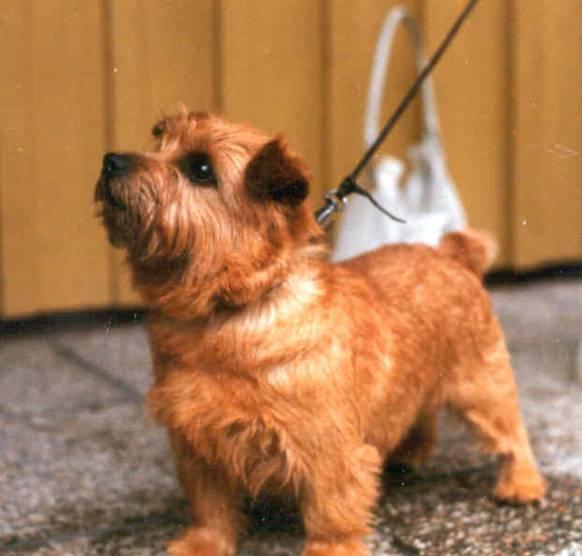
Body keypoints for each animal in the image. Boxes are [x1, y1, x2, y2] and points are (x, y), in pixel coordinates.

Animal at [96, 109, 548, 556]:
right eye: (160, 142)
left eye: (201, 169)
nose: (111, 160)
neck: (229, 311)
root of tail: (451, 253)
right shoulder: (196, 441)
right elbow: (210, 506)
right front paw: (203, 545)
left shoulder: (326, 450)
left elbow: (330, 510)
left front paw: (328, 549)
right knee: (422, 415)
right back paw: (409, 454)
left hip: (481, 386)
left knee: (512, 434)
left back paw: (521, 484)